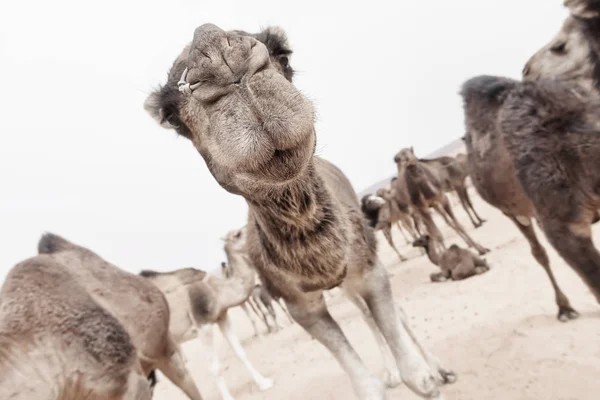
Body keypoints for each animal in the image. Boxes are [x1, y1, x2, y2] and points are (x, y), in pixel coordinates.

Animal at [141, 228, 272, 400]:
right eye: (237, 234)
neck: (216, 291)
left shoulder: (222, 317)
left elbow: (240, 352)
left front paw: (263, 383)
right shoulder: (202, 325)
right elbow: (215, 368)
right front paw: (228, 398)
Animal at [458, 0, 600, 320]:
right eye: (559, 46)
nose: (527, 69)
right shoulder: (563, 227)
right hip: (514, 211)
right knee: (538, 253)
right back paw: (564, 308)